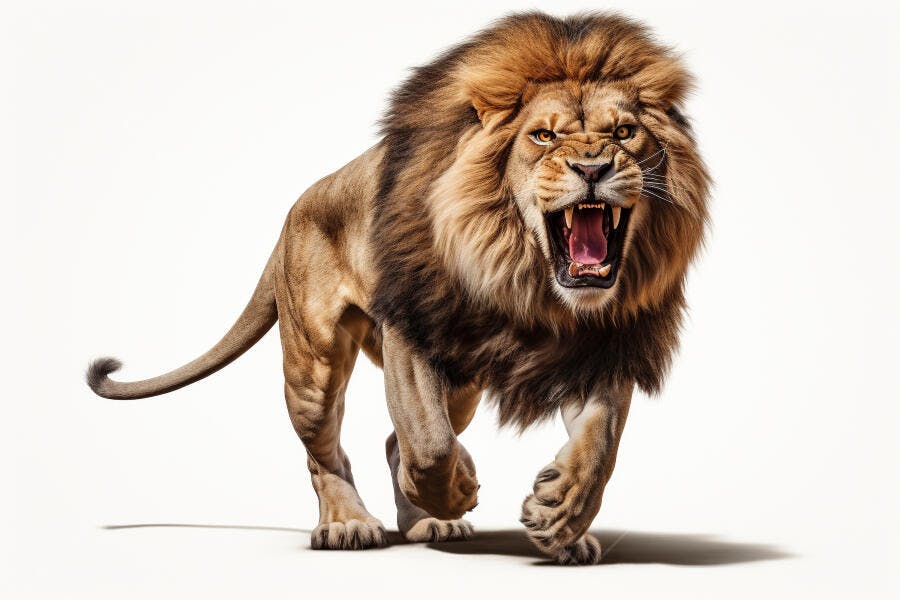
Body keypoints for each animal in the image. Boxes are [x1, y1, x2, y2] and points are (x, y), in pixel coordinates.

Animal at [87, 12, 709, 565]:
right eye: (543, 135)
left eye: (625, 133)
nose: (593, 168)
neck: (528, 283)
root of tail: (296, 209)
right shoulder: (412, 328)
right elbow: (429, 445)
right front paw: (462, 488)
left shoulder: (606, 343)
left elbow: (599, 445)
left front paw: (561, 518)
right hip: (314, 367)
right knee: (328, 452)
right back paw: (349, 525)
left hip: (462, 383)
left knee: (394, 443)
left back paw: (429, 522)